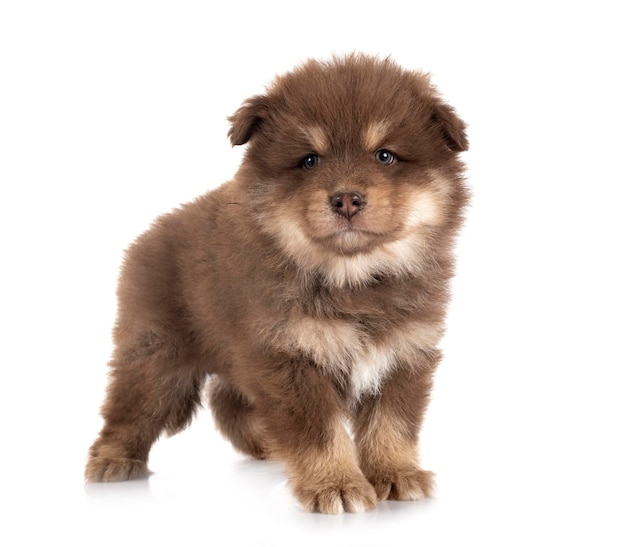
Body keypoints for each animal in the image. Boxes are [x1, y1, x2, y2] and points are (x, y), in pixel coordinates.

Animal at [85, 53, 466, 516]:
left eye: (385, 155)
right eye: (310, 160)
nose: (346, 199)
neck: (352, 278)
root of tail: (147, 236)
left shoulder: (404, 352)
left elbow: (391, 423)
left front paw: (395, 474)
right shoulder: (288, 355)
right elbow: (320, 432)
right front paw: (335, 484)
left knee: (227, 401)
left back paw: (268, 445)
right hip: (156, 353)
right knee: (130, 407)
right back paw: (112, 460)